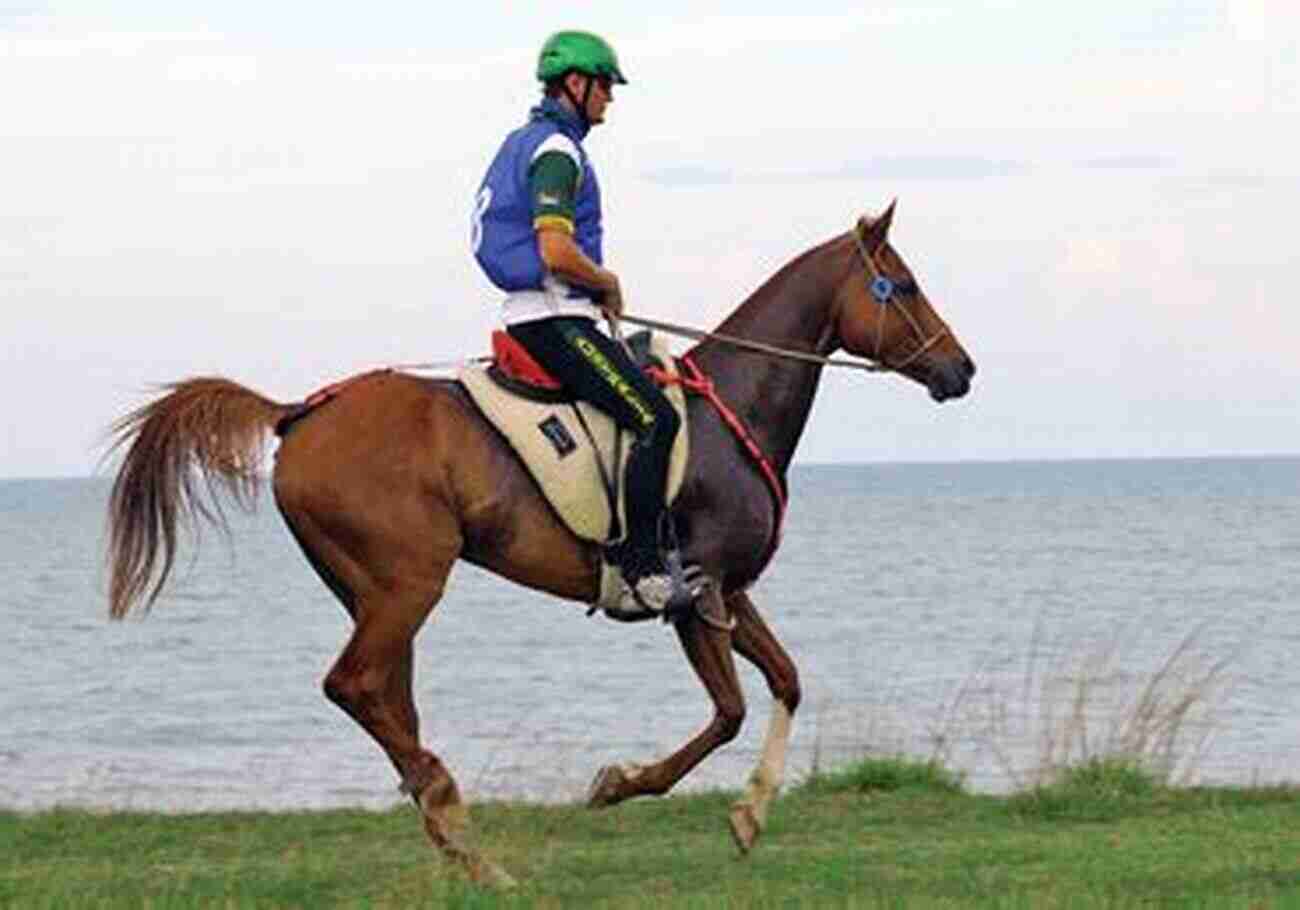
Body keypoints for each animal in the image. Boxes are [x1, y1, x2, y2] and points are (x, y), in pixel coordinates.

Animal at [104, 202, 977, 883]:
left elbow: (788, 682)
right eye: (903, 286)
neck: (730, 408)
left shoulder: (728, 590)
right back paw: (458, 820)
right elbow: (728, 711)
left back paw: (458, 839)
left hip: (373, 593)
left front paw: (751, 815)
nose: (961, 369)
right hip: (407, 584)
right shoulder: (693, 596)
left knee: (386, 698)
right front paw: (619, 784)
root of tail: (298, 413)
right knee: (355, 686)